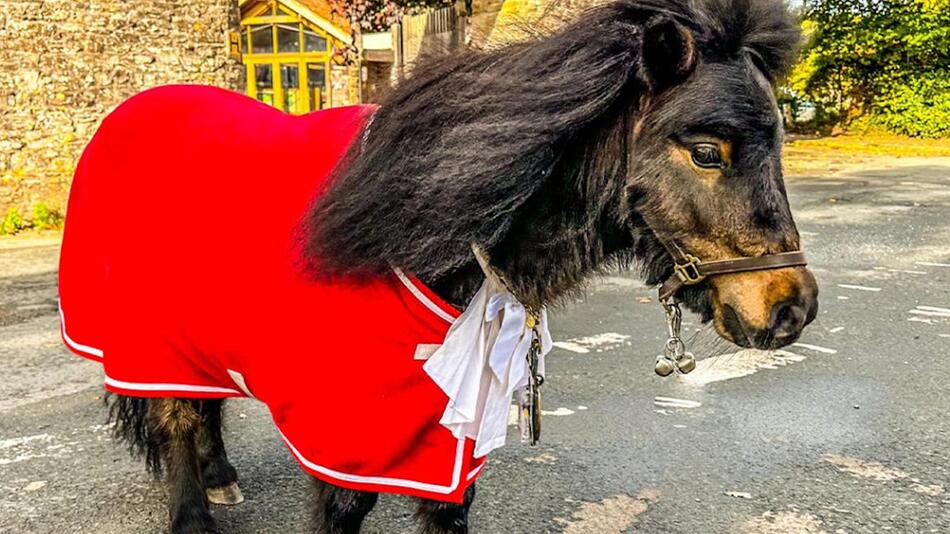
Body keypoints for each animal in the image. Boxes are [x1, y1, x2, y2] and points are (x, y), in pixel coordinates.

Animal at [69, 0, 820, 532]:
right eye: (707, 151)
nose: (793, 308)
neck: (416, 242)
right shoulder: (348, 446)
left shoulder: (444, 443)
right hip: (149, 344)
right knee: (176, 421)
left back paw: (221, 473)